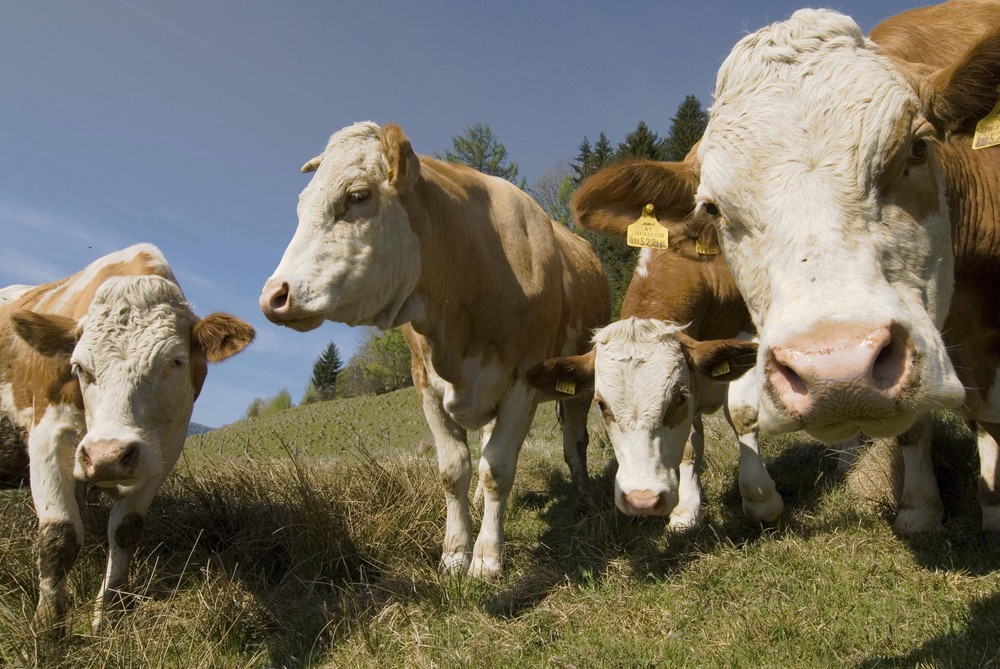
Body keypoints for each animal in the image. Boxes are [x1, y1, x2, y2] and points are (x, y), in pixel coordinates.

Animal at [2, 244, 258, 632]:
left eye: (176, 362)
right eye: (80, 367)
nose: (106, 455)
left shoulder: (163, 449)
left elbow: (125, 530)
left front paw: (107, 615)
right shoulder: (48, 433)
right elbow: (59, 536)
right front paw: (47, 631)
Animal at [258, 120, 608, 576]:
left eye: (358, 196)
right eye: (301, 207)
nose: (273, 296)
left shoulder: (522, 383)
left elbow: (498, 468)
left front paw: (487, 558)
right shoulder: (426, 385)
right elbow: (454, 469)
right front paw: (455, 551)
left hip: (581, 379)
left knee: (575, 443)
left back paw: (584, 499)